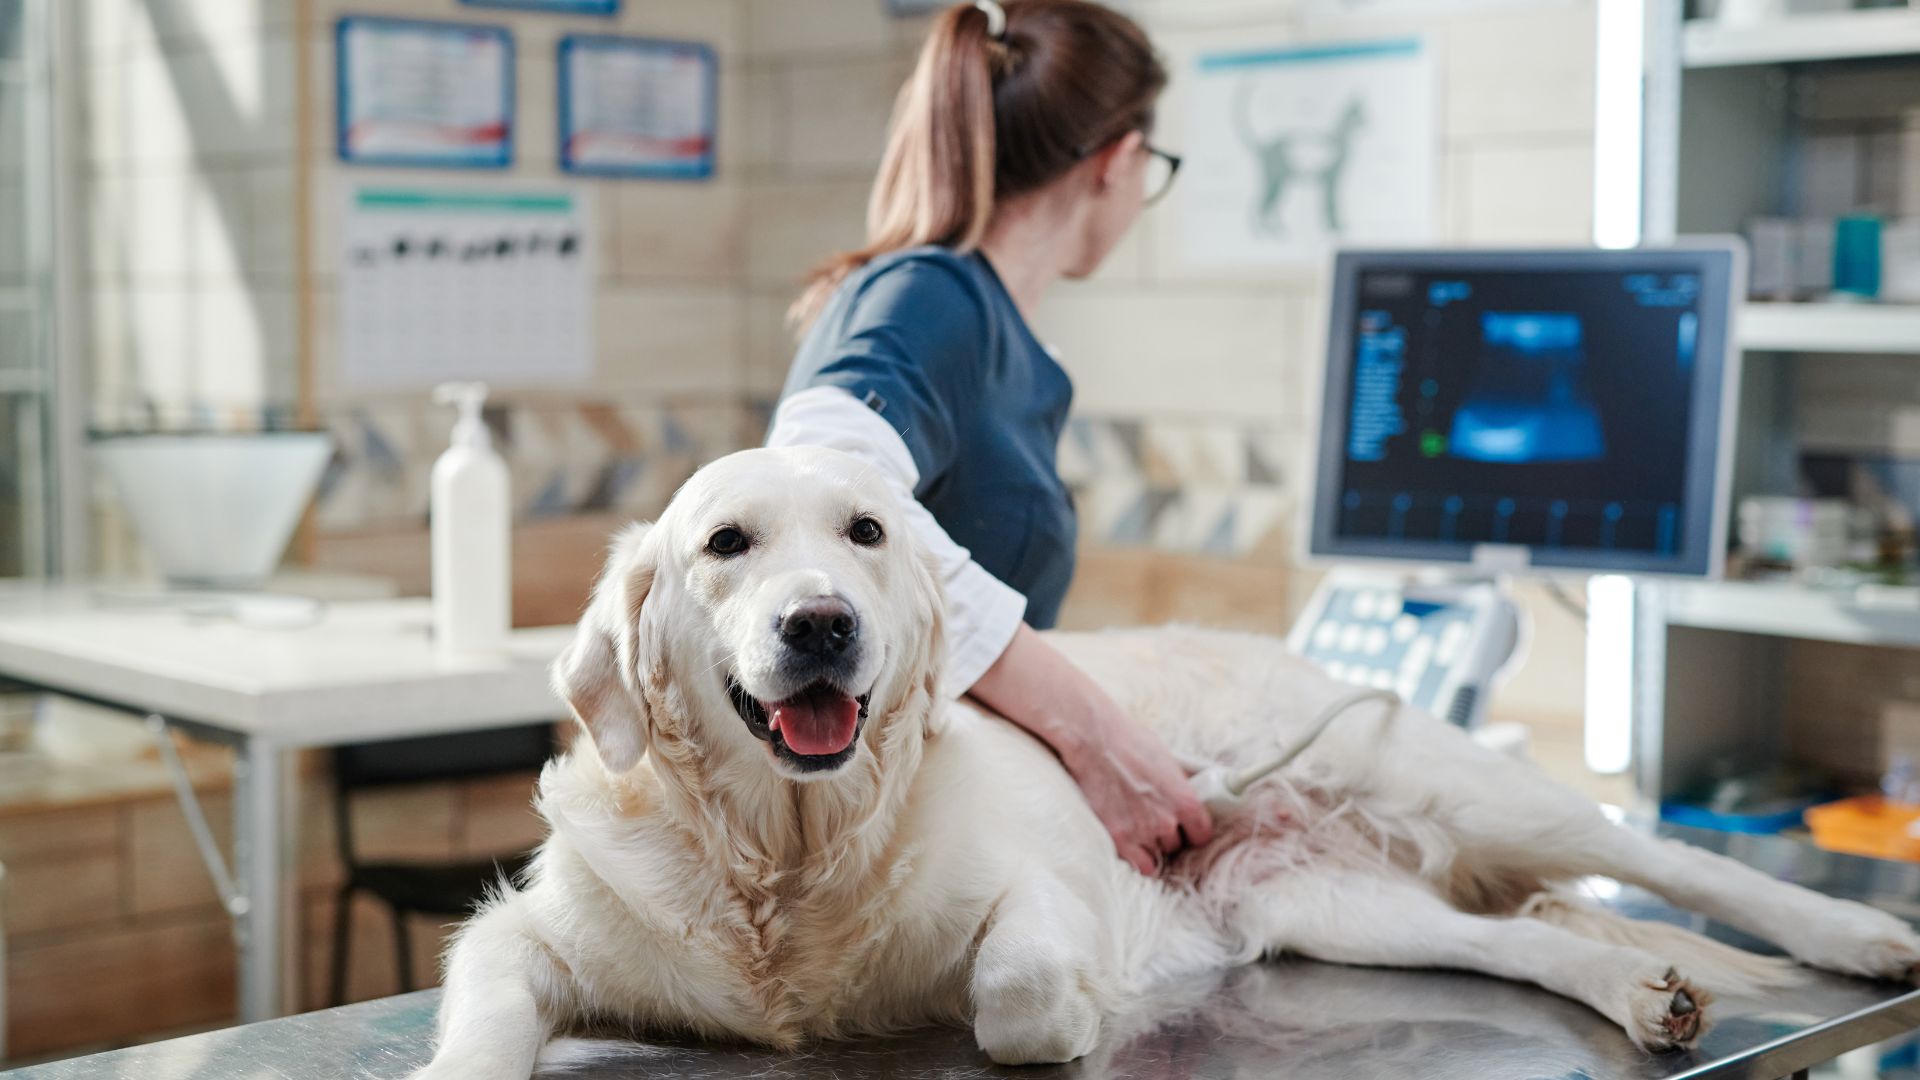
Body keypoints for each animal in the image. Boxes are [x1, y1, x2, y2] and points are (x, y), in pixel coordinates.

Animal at [412, 445, 1920, 1076]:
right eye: (726, 544)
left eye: (867, 533)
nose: (821, 625)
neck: (786, 854)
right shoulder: (525, 935)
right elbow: (486, 1020)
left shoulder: (1043, 889)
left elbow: (1018, 990)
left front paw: (1074, 1013)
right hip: (1330, 904)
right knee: (1528, 943)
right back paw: (1640, 996)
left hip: (1447, 782)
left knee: (1653, 854)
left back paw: (1856, 934)